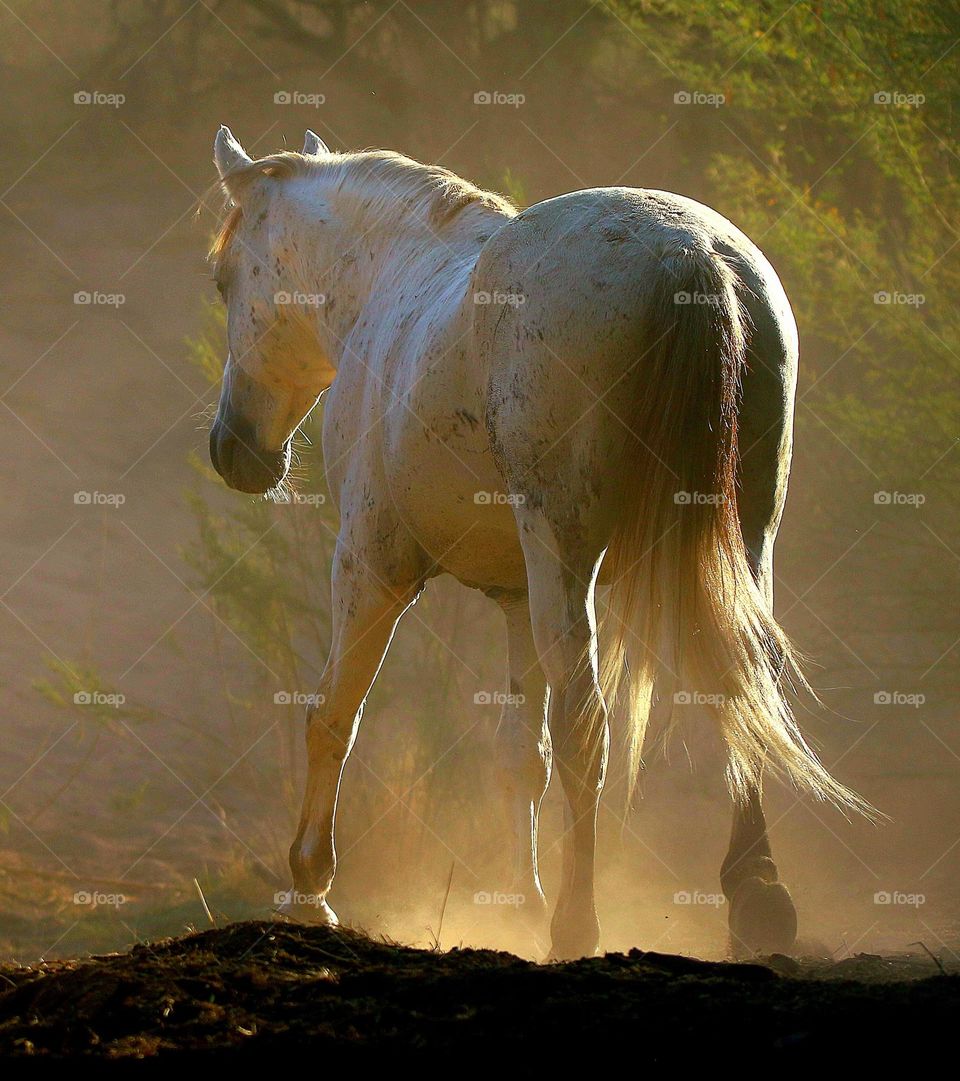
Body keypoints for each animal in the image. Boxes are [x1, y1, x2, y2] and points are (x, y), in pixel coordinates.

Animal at [208, 125, 866, 959]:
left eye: (225, 280)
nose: (232, 450)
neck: (394, 285)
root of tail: (690, 255)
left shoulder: (370, 565)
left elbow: (332, 715)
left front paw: (309, 888)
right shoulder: (516, 591)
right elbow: (524, 754)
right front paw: (519, 899)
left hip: (567, 553)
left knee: (586, 718)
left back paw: (577, 924)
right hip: (742, 543)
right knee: (743, 684)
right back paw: (755, 900)